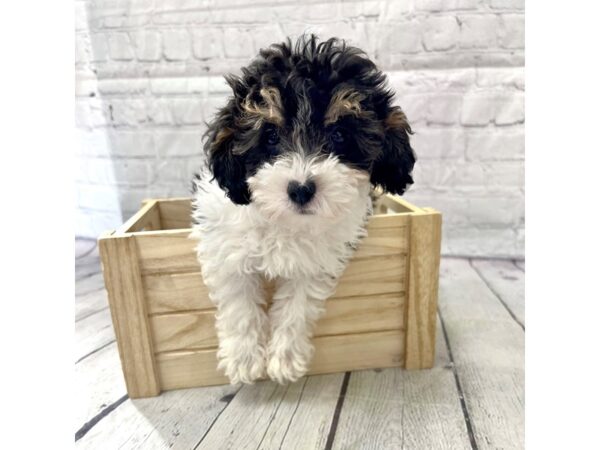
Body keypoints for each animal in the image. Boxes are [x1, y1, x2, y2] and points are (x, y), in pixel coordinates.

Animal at [190, 35, 414, 384]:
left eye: (339, 135)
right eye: (270, 136)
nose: (301, 189)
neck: (287, 222)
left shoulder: (319, 260)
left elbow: (298, 303)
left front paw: (284, 358)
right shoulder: (223, 243)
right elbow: (237, 297)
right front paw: (243, 359)